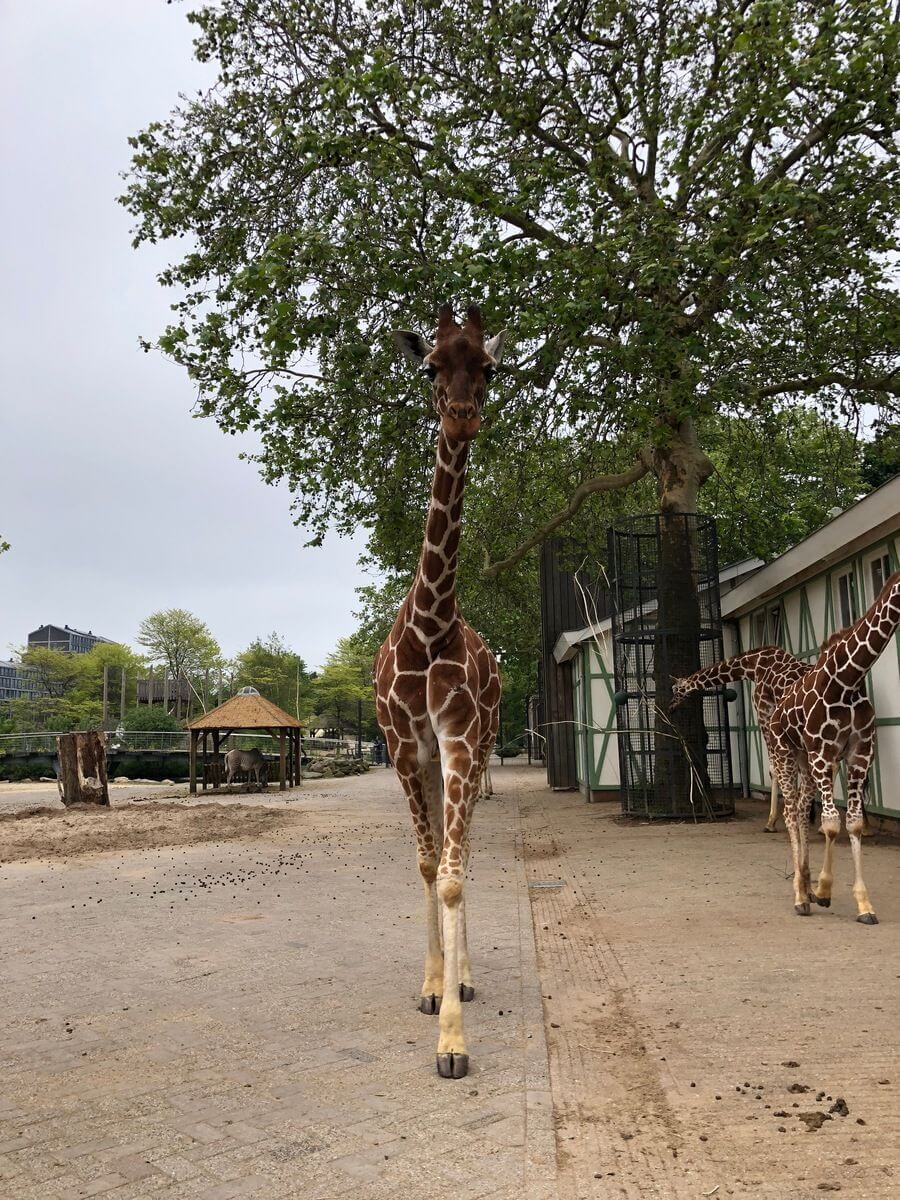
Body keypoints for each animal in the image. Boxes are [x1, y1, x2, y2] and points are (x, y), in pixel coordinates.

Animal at [672, 647, 810, 831]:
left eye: (676, 690)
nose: (670, 707)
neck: (753, 666)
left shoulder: (764, 712)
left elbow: (774, 769)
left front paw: (771, 821)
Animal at [768, 569, 900, 924]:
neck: (850, 678)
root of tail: (774, 713)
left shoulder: (858, 752)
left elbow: (852, 822)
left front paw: (864, 904)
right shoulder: (823, 751)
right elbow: (829, 824)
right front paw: (825, 890)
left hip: (807, 761)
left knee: (802, 808)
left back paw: (805, 881)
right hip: (784, 753)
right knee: (790, 811)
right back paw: (800, 896)